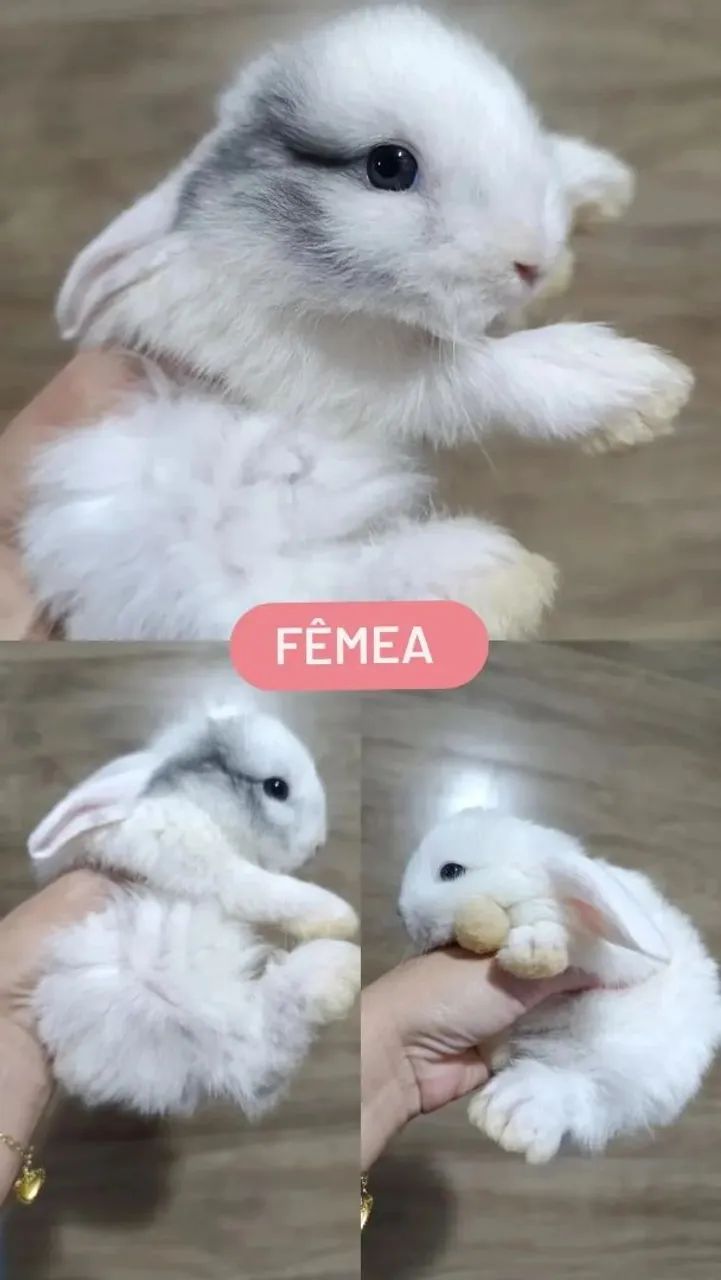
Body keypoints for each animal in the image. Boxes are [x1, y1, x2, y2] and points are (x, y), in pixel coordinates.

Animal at [20, 5, 693, 641]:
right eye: (389, 166)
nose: (532, 261)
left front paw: (598, 183)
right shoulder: (346, 376)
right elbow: (478, 372)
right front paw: (643, 390)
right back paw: (491, 576)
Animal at [27, 702, 360, 1117]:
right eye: (276, 787)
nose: (318, 845)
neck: (195, 801)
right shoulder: (204, 861)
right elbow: (264, 890)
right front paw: (342, 916)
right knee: (261, 1029)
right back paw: (341, 965)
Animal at [399, 808, 721, 1164]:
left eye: (451, 871)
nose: (403, 914)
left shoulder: (610, 960)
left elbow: (559, 935)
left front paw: (532, 949)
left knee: (584, 1086)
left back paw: (511, 1109)